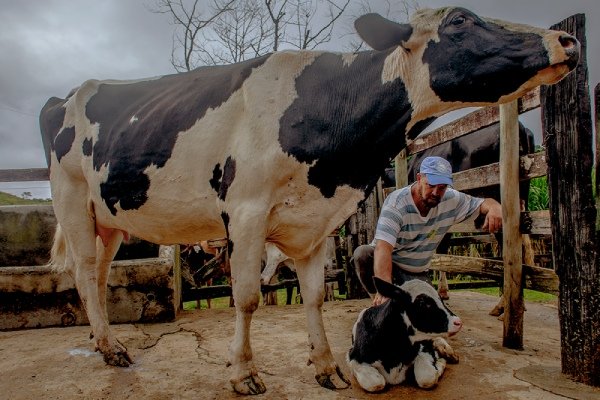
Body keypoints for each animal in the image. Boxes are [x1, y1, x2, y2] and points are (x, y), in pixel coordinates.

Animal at [39, 4, 580, 396]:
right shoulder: (246, 213)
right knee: (84, 274)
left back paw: (101, 339)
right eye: (460, 21)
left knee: (100, 275)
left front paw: (325, 366)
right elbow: (248, 296)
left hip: (110, 219)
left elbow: (316, 295)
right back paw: (111, 347)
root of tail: (65, 95)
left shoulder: (317, 223)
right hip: (72, 200)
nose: (569, 41)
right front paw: (243, 372)